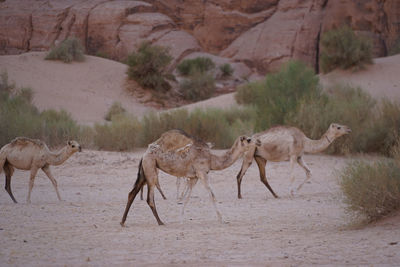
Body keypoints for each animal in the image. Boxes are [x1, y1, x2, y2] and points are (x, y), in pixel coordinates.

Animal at [120, 130, 255, 226]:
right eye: (249, 140)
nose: (257, 143)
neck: (212, 159)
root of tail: (144, 155)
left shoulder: (194, 177)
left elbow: (188, 197)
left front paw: (181, 219)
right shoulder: (202, 173)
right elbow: (212, 195)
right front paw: (223, 220)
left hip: (144, 172)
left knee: (132, 193)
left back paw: (122, 222)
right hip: (151, 168)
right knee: (150, 198)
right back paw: (160, 222)